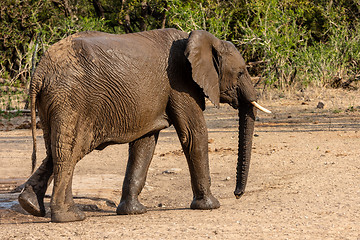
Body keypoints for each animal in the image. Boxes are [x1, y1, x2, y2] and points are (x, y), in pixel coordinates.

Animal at [17, 28, 270, 223]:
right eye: (241, 73)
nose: (237, 194)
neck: (199, 39)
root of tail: (40, 71)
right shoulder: (180, 83)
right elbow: (193, 134)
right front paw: (210, 205)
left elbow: (145, 143)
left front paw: (133, 212)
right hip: (71, 99)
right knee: (69, 153)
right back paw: (70, 217)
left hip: (54, 101)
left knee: (56, 150)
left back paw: (30, 205)